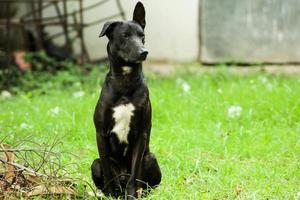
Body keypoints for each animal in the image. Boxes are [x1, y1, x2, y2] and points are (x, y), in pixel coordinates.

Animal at [91, 1, 162, 200]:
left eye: (142, 36)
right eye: (124, 36)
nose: (144, 52)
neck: (125, 81)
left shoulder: (141, 134)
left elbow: (135, 173)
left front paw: (132, 195)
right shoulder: (100, 133)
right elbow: (107, 169)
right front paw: (109, 194)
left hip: (150, 158)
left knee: (143, 182)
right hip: (95, 164)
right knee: (106, 171)